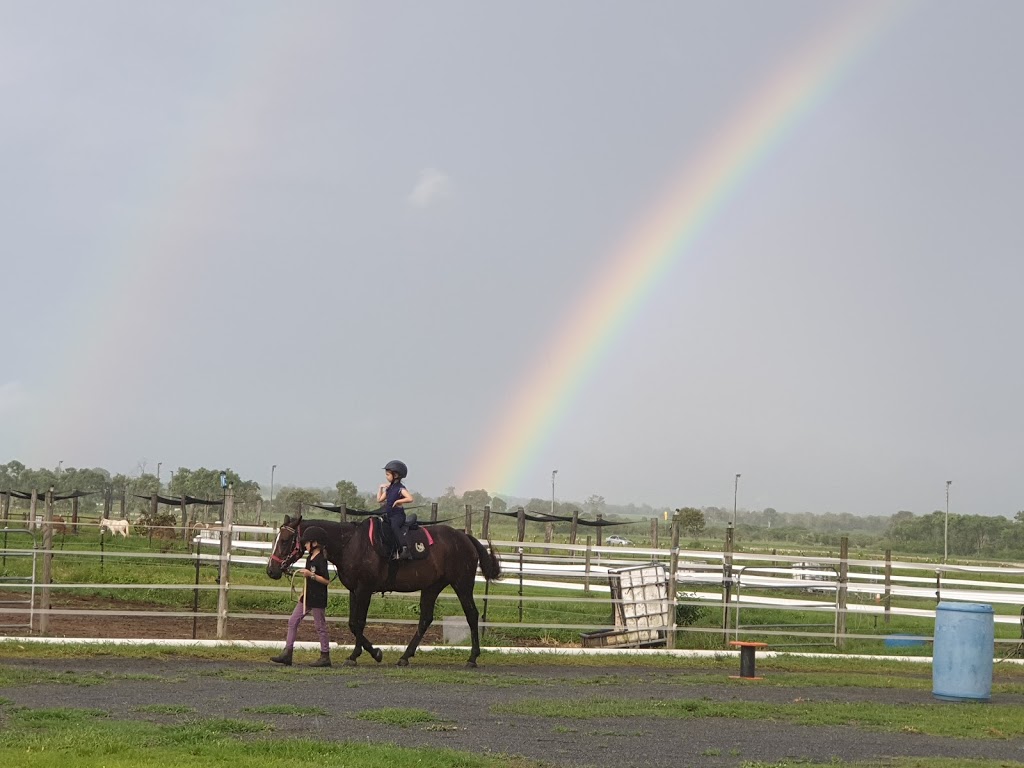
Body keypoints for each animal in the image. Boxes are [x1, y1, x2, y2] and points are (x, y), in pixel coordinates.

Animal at [266, 518, 501, 667]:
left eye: (285, 540)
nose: (271, 570)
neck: (350, 544)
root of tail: (464, 537)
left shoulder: (364, 589)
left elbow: (357, 623)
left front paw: (370, 654)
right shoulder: (354, 590)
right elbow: (354, 622)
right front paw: (360, 654)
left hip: (462, 585)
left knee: (472, 615)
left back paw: (472, 658)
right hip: (432, 587)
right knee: (426, 618)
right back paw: (405, 656)